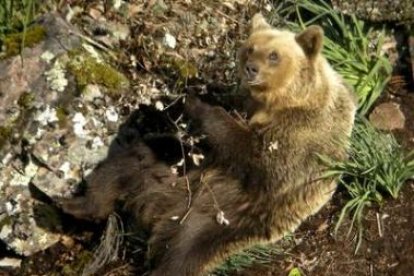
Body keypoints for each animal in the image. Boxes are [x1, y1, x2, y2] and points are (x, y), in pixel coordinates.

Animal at [59, 13, 358, 276]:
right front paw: (182, 94)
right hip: (167, 166)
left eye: (274, 55)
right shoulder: (244, 102)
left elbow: (257, 157)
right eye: (250, 48)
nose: (251, 68)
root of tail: (162, 207)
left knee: (183, 254)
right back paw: (72, 204)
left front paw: (191, 101)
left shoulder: (300, 134)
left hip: (220, 219)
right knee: (124, 165)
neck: (279, 101)